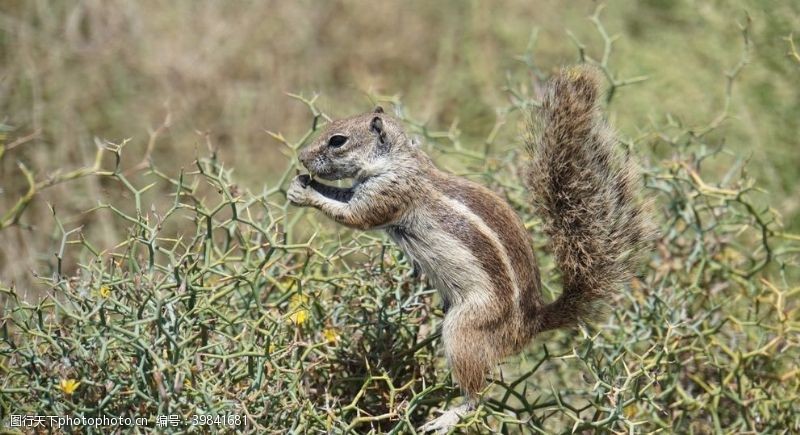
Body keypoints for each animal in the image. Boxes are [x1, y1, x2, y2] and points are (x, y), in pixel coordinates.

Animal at [284, 66, 652, 434]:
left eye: (338, 140)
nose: (301, 157)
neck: (400, 161)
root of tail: (531, 324)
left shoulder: (386, 197)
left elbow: (352, 215)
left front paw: (306, 193)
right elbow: (342, 196)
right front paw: (301, 183)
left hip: (465, 330)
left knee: (478, 395)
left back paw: (449, 416)